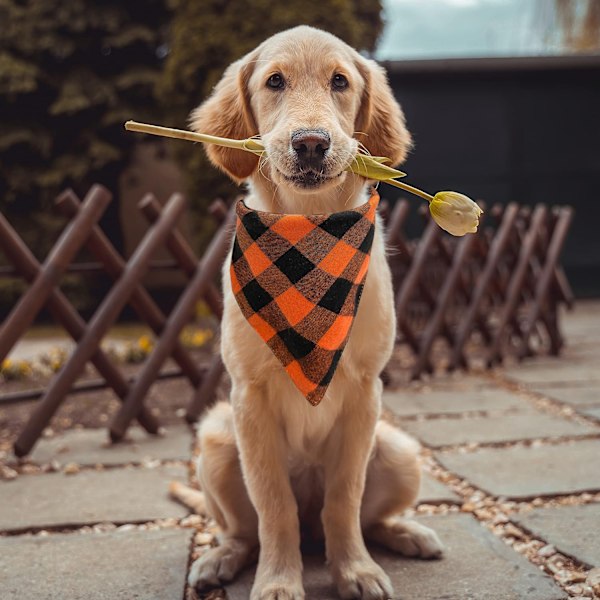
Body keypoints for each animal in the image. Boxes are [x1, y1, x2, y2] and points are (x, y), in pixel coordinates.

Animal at [180, 25, 442, 596]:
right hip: (216, 441)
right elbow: (272, 505)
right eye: (275, 81)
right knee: (244, 529)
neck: (311, 232)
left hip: (399, 450)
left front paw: (355, 570)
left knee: (365, 517)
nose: (311, 143)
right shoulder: (249, 398)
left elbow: (345, 498)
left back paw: (406, 533)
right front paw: (279, 581)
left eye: (339, 81)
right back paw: (221, 558)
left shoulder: (365, 392)